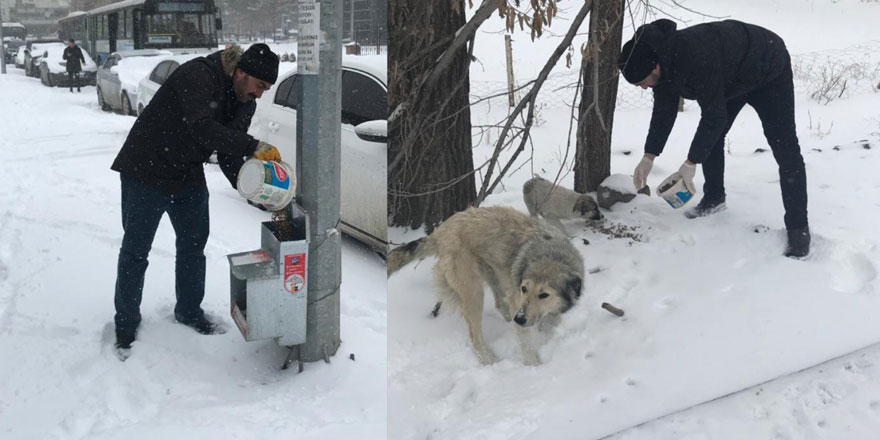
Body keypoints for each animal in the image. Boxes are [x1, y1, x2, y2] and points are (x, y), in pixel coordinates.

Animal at [386, 206, 584, 364]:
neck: (551, 254)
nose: (519, 319)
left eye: (544, 295)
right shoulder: (517, 300)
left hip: (494, 276)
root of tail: (441, 231)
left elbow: (550, 322)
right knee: (475, 338)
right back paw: (491, 361)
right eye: (524, 289)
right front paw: (534, 368)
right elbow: (526, 344)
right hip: (474, 293)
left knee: (499, 305)